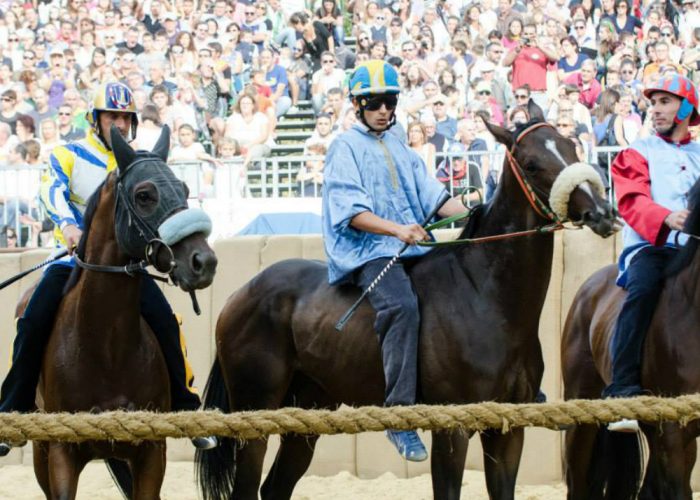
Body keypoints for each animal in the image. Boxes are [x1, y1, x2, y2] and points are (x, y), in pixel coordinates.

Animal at [197, 102, 616, 500]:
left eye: (571, 147)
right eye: (532, 163)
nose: (603, 211)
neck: (486, 297)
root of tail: (240, 294)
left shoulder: (507, 428)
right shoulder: (452, 429)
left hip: (309, 411)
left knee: (275, 486)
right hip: (255, 411)